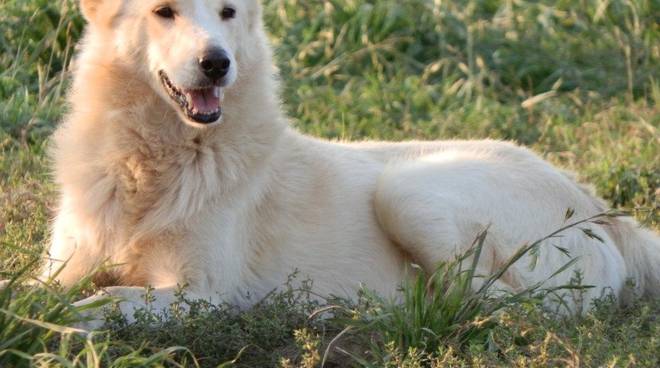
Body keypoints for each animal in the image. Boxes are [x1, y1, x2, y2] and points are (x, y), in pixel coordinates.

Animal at [37, 0, 660, 324]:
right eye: (164, 11)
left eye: (227, 11)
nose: (217, 63)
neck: (151, 161)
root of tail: (605, 212)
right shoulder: (64, 265)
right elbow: (48, 287)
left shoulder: (203, 293)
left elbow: (110, 298)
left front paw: (55, 323)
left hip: (407, 190)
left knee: (496, 304)